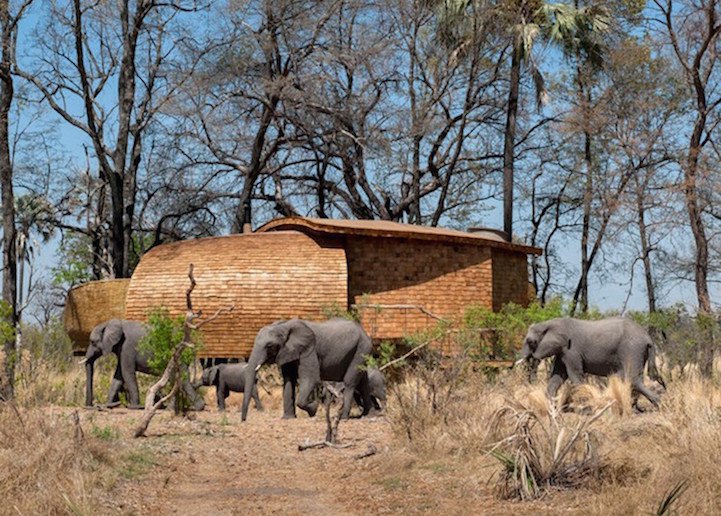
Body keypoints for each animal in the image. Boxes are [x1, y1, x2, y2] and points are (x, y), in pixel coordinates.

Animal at [242, 316, 372, 422]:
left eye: (269, 346)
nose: (243, 420)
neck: (284, 326)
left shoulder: (308, 349)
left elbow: (311, 378)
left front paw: (314, 409)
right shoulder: (288, 352)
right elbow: (289, 380)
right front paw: (288, 418)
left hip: (361, 349)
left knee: (350, 383)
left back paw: (344, 418)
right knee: (363, 383)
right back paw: (369, 415)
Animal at [516, 316, 664, 410]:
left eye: (530, 341)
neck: (548, 323)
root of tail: (648, 338)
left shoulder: (571, 350)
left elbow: (574, 375)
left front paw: (587, 409)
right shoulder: (562, 351)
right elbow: (557, 377)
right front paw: (551, 409)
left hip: (632, 349)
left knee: (633, 378)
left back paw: (657, 405)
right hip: (637, 351)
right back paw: (636, 408)